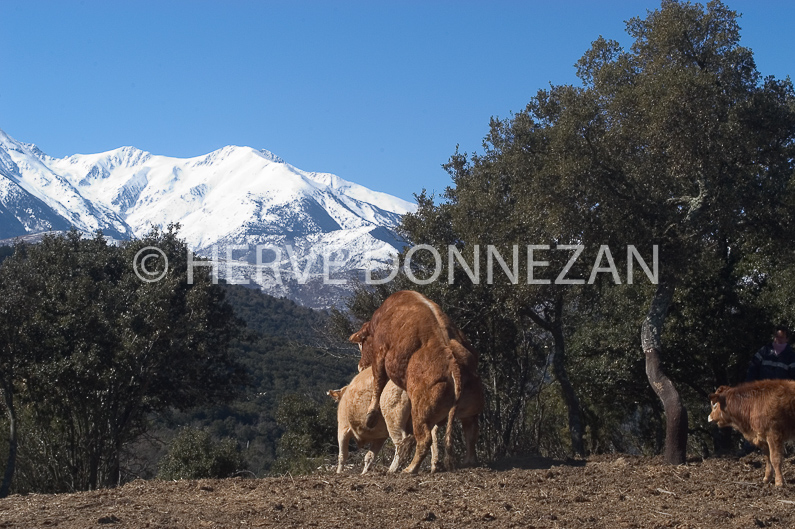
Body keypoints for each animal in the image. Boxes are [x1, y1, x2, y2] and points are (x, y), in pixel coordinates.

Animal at [350, 290, 486, 472]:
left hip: (420, 412)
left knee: (424, 438)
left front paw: (370, 417)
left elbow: (378, 383)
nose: (360, 365)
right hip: (471, 408)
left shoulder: (380, 353)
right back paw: (468, 461)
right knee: (471, 431)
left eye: (362, 343)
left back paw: (410, 468)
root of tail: (454, 364)